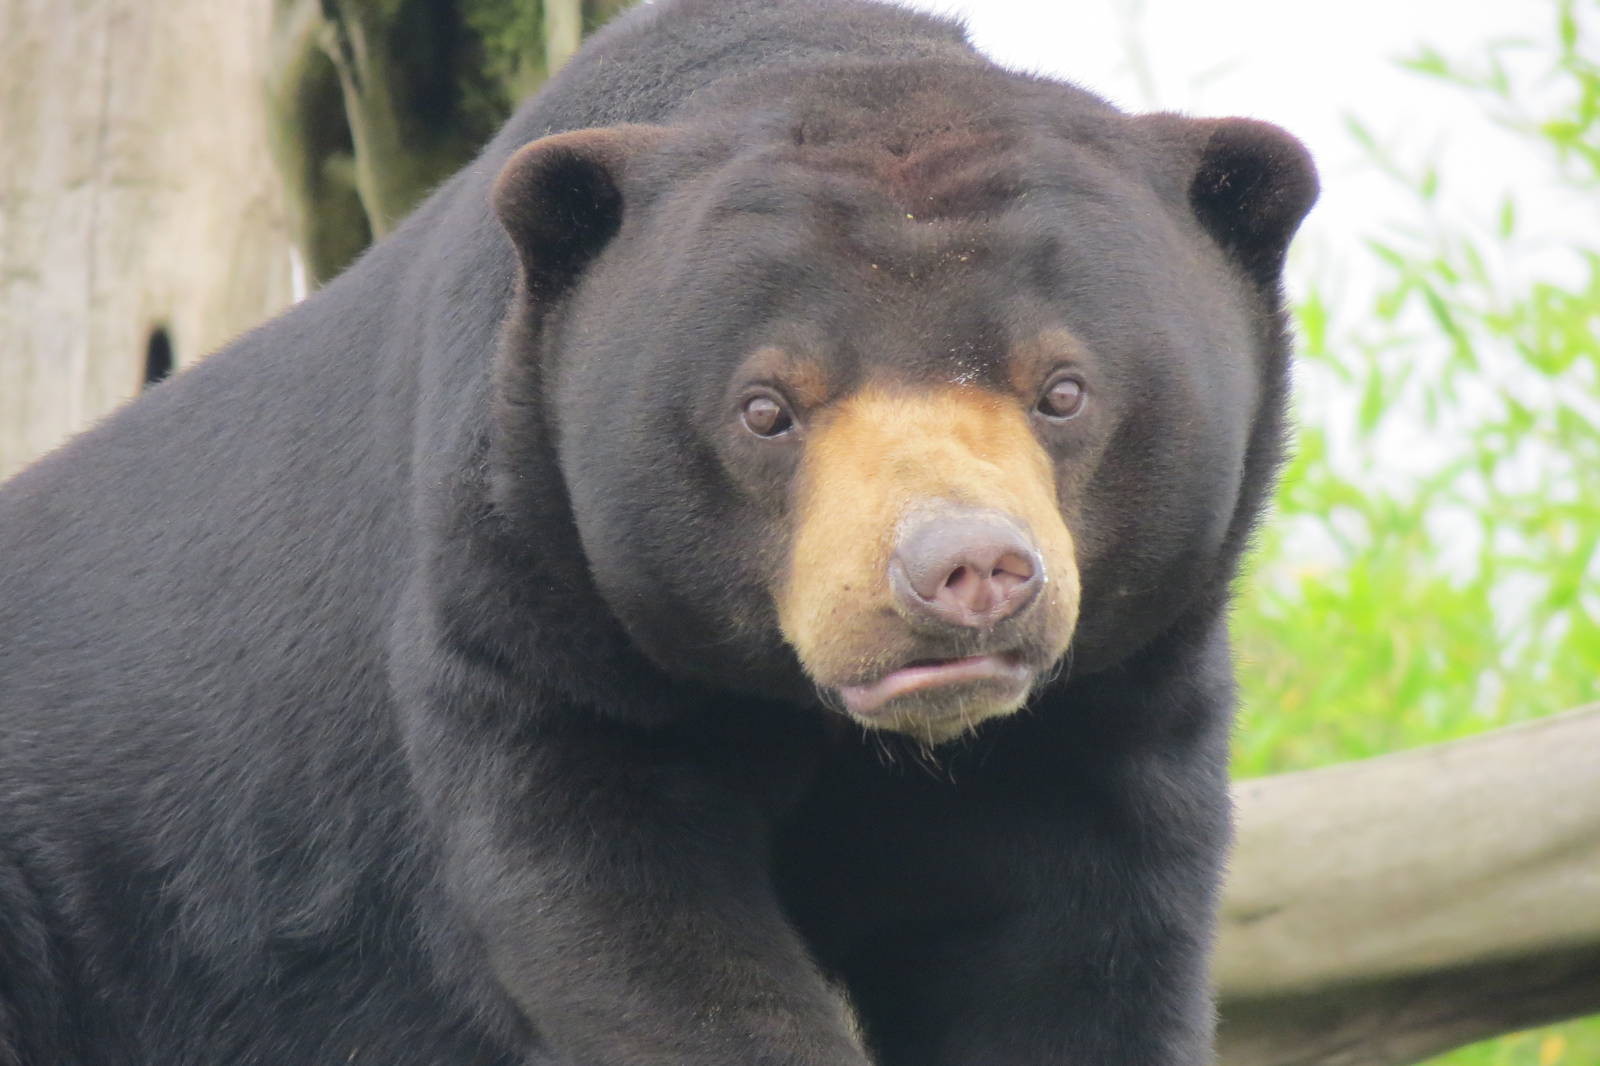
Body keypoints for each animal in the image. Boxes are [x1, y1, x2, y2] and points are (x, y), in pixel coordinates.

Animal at [0, 0, 1317, 1063]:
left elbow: (1068, 957)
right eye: (766, 407)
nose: (965, 571)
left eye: (1062, 390)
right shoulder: (530, 615)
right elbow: (632, 929)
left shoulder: (1105, 700)